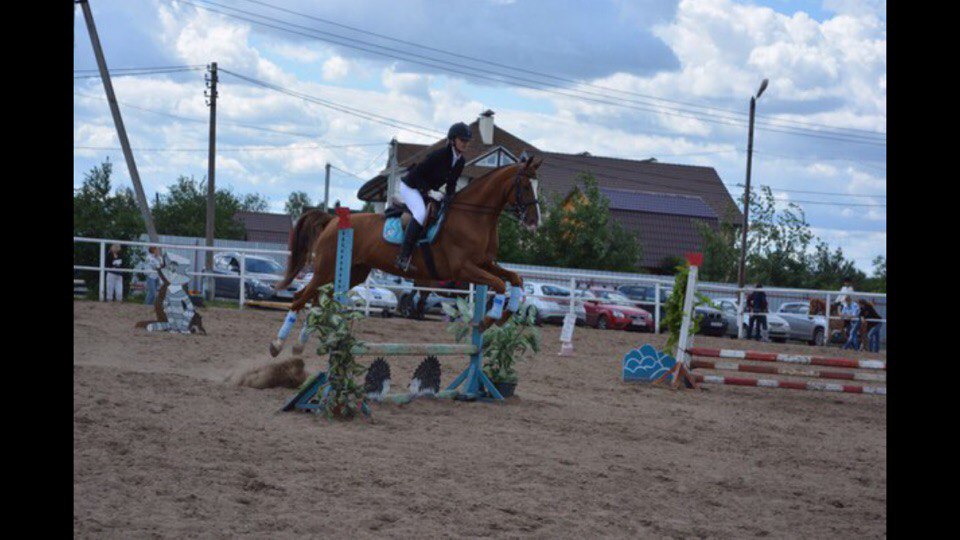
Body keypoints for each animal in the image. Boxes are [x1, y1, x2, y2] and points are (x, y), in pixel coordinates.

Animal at [268, 157, 543, 357]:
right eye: (525, 186)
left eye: (537, 186)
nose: (534, 222)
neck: (474, 216)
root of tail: (333, 220)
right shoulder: (463, 268)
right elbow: (499, 284)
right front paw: (488, 320)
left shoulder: (484, 264)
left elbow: (515, 279)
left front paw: (507, 314)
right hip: (326, 269)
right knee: (299, 298)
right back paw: (277, 345)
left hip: (352, 273)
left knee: (315, 303)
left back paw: (300, 345)